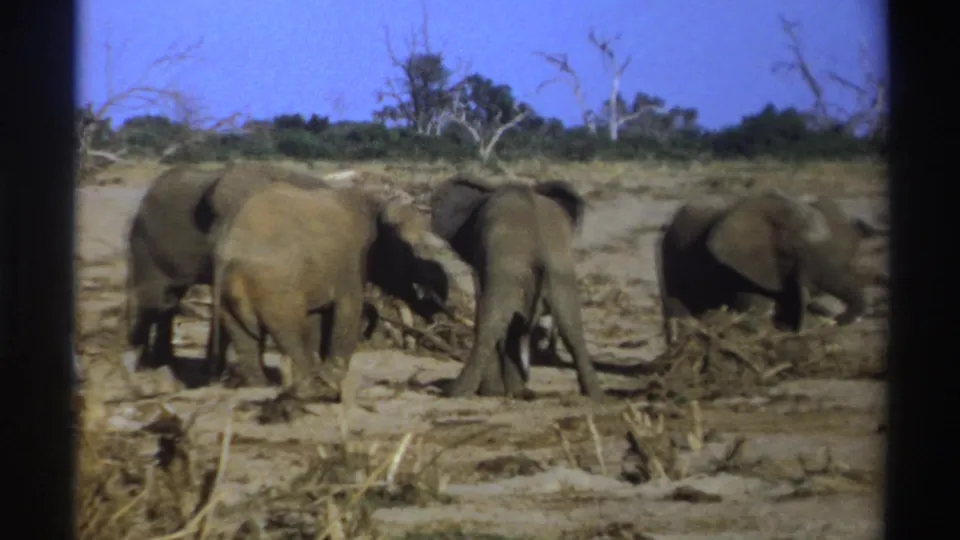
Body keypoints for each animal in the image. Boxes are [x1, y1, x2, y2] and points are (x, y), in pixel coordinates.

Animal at [208, 182, 450, 401]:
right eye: (414, 252)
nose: (438, 314)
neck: (373, 200)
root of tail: (229, 253)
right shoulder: (351, 262)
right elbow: (349, 309)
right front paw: (331, 378)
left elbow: (317, 316)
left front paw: (323, 372)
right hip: (276, 288)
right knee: (289, 332)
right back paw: (306, 388)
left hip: (229, 294)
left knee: (244, 338)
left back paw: (260, 386)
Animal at [429, 174, 604, 400]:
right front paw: (512, 391)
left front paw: (494, 392)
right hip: (560, 272)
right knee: (571, 327)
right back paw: (593, 395)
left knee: (492, 323)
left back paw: (458, 392)